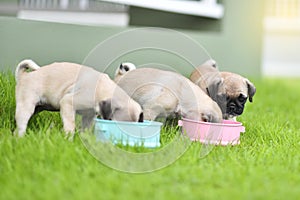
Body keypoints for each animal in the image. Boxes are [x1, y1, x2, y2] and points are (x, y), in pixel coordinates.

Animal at [14, 59, 144, 138]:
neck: (104, 89)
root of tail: (24, 76)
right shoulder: (67, 103)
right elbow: (70, 126)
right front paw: (68, 139)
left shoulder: (88, 116)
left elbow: (85, 130)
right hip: (26, 106)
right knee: (21, 124)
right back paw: (21, 137)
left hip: (37, 108)